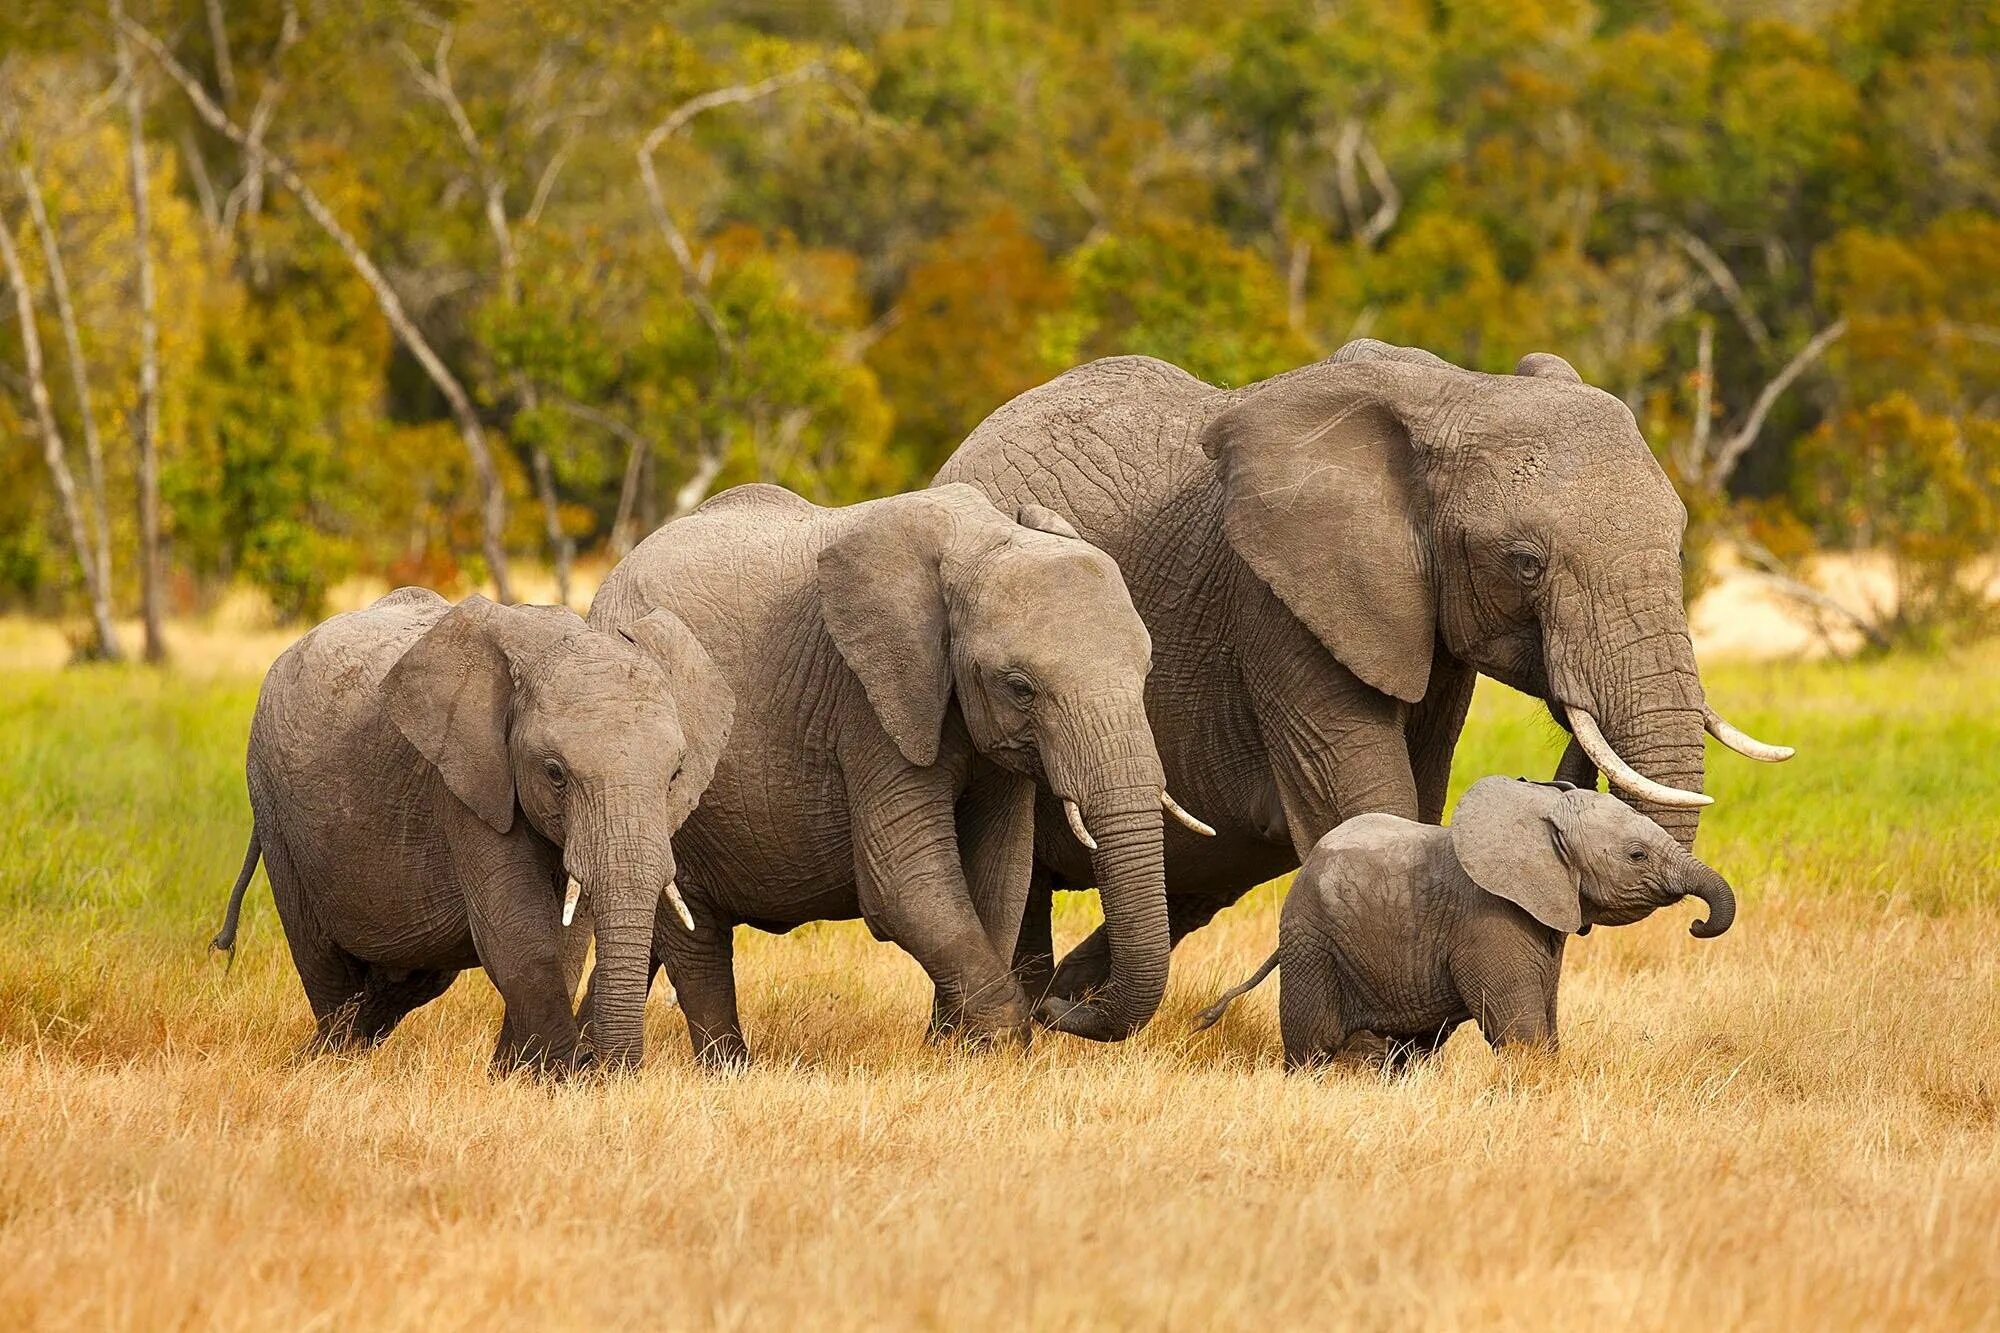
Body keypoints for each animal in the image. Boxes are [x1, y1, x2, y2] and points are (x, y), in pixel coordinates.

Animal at [584, 478, 1208, 1056]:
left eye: (1147, 669)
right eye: (1020, 688)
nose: (1060, 1007)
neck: (978, 540)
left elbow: (1000, 875)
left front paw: (955, 1052)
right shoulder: (867, 702)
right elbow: (907, 882)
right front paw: (999, 1050)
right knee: (696, 944)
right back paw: (722, 1069)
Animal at [936, 334, 1800, 1008]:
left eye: (1680, 542)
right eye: (1525, 563)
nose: (1699, 920)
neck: (1460, 392)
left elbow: (1419, 795)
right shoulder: (1279, 601)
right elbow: (1368, 796)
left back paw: (1065, 1009)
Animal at [1184, 772, 1736, 1064]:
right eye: (1637, 855)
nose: (1697, 925)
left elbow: (1547, 1016)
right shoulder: (1487, 919)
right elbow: (1519, 1031)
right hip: (1310, 940)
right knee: (1314, 1046)